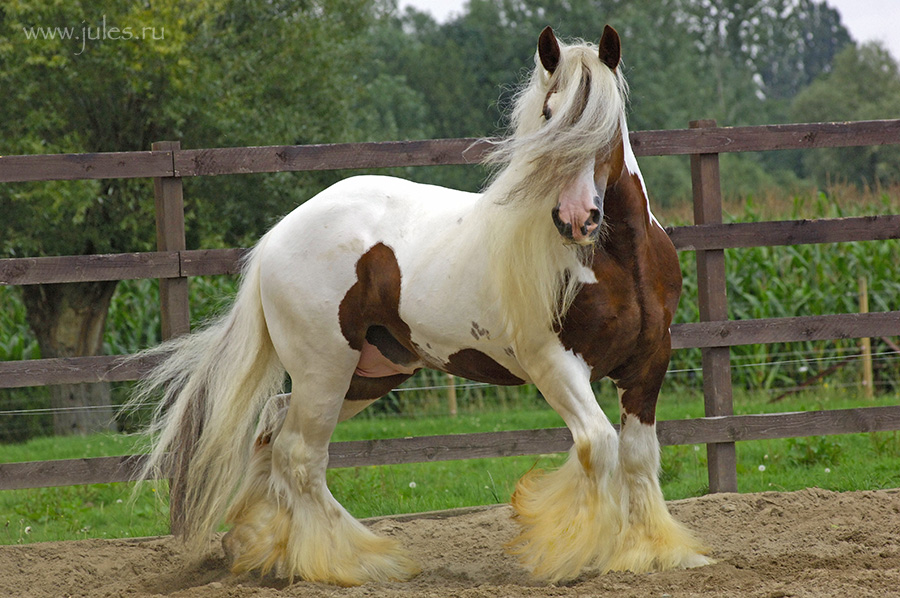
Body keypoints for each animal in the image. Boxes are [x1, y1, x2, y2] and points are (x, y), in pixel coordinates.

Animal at [132, 25, 712, 588]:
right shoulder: (554, 363)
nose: (575, 218)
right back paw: (358, 563)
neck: (620, 263)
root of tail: (279, 235)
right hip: (326, 369)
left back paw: (263, 552)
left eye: (605, 121)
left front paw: (655, 553)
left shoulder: (649, 364)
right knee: (299, 455)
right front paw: (571, 555)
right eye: (550, 114)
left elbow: (639, 455)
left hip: (370, 373)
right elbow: (599, 445)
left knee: (273, 432)